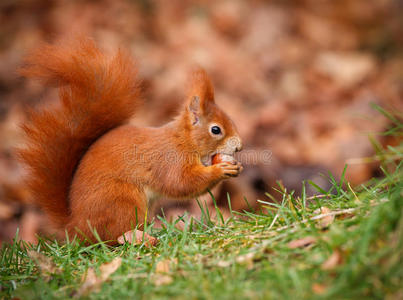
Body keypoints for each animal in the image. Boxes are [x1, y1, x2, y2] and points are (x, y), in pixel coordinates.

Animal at [18, 37, 243, 244]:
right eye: (216, 130)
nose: (239, 146)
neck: (183, 140)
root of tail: (76, 227)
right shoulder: (170, 160)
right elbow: (181, 183)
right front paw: (220, 170)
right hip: (124, 202)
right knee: (114, 237)